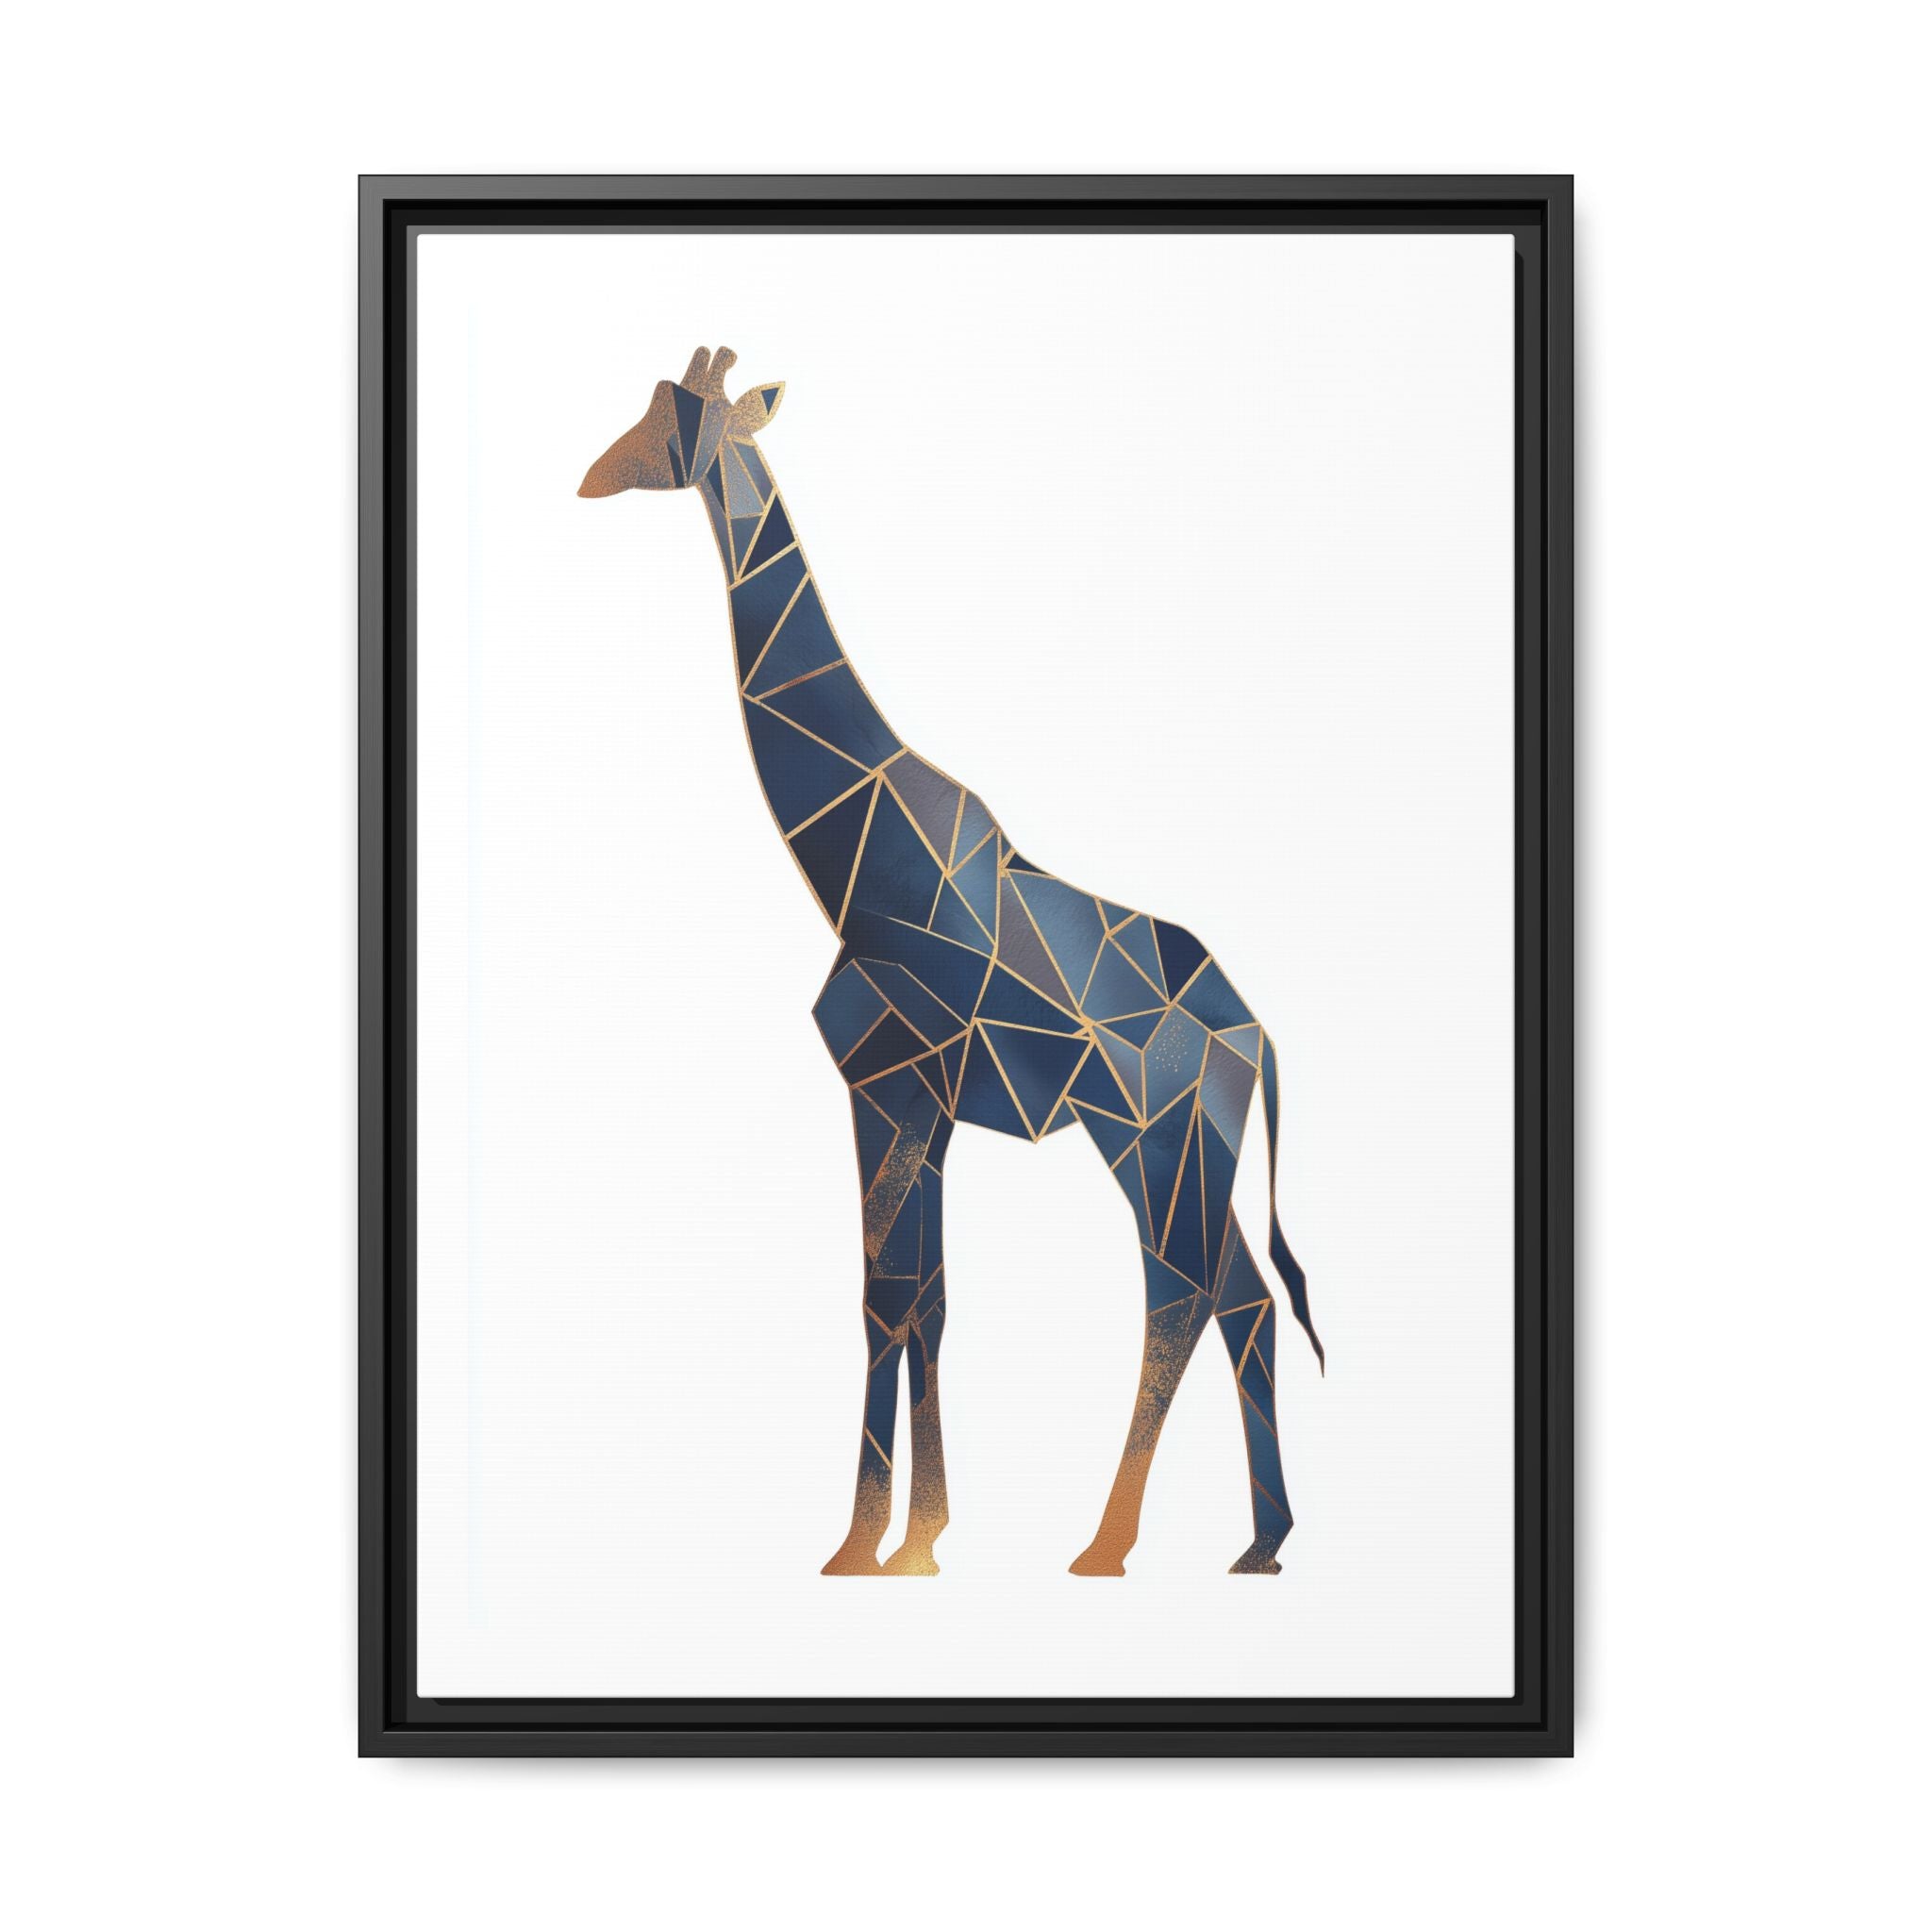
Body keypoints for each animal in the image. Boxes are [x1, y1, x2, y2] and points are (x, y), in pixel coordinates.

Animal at [580, 345, 1322, 1577]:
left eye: (676, 421)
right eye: (648, 406)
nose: (593, 474)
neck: (854, 860)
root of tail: (1253, 1034)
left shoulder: (886, 1084)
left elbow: (888, 1299)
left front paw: (873, 1542)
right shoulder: (917, 1104)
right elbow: (920, 1298)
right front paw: (906, 1538)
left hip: (1150, 1136)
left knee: (1181, 1293)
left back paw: (1108, 1544)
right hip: (1186, 1146)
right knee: (1241, 1299)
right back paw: (1258, 1541)